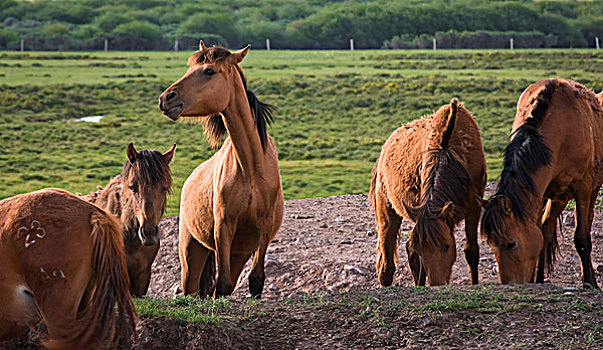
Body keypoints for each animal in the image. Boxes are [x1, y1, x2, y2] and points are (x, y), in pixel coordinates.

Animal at [159, 41, 284, 298]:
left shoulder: (263, 228)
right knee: (191, 288)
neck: (251, 167)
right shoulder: (224, 226)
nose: (166, 98)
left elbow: (256, 281)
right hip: (192, 252)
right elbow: (222, 286)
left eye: (209, 71)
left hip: (239, 253)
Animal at [370, 99, 488, 288]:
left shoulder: (473, 208)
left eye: (447, 246)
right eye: (423, 250)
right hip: (387, 210)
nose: (437, 283)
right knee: (387, 264)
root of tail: (385, 149)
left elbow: (471, 251)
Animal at [482, 78, 603, 288]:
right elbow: (540, 235)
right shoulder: (539, 192)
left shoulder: (583, 189)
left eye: (511, 243)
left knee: (585, 224)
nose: (510, 284)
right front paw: (535, 280)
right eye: (491, 244)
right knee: (546, 231)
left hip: (587, 191)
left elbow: (582, 238)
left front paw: (589, 282)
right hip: (558, 196)